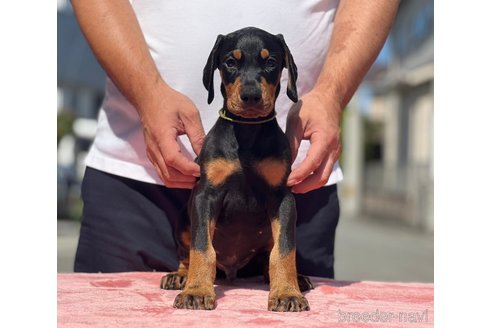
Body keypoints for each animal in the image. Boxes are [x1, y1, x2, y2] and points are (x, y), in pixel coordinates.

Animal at [163, 26, 314, 312]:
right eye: (231, 62)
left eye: (271, 62)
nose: (251, 96)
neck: (247, 132)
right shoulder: (205, 195)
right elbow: (201, 248)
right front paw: (196, 291)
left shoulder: (282, 198)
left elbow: (284, 250)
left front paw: (287, 293)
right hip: (182, 219)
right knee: (185, 252)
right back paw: (180, 276)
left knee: (269, 255)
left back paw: (295, 279)